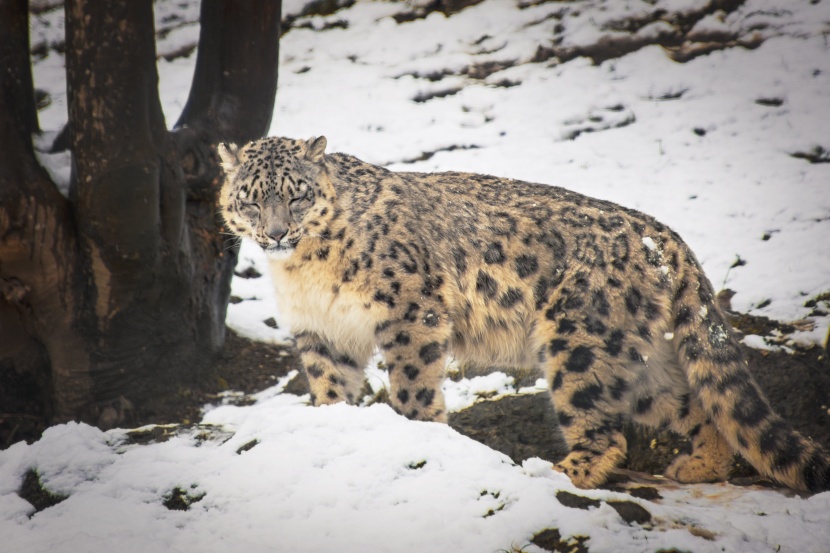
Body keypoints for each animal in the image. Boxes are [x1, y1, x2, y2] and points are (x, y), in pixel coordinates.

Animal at [216, 136, 830, 490]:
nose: (277, 232)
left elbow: (412, 385)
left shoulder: (411, 312)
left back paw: (559, 476)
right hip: (641, 359)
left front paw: (419, 433)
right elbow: (330, 387)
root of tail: (663, 236)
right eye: (251, 197)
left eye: (296, 194)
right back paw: (699, 466)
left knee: (605, 431)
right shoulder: (320, 332)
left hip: (578, 341)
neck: (303, 270)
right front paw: (335, 426)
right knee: (700, 406)